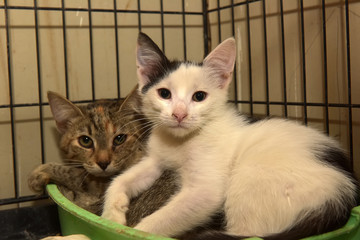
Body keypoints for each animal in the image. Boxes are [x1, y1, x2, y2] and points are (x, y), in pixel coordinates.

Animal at [101, 32, 358, 240]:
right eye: (164, 93)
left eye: (199, 96)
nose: (179, 114)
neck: (180, 141)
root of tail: (344, 194)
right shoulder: (156, 158)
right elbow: (119, 179)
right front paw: (111, 214)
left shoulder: (204, 192)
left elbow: (167, 216)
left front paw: (132, 231)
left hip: (251, 179)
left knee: (247, 233)